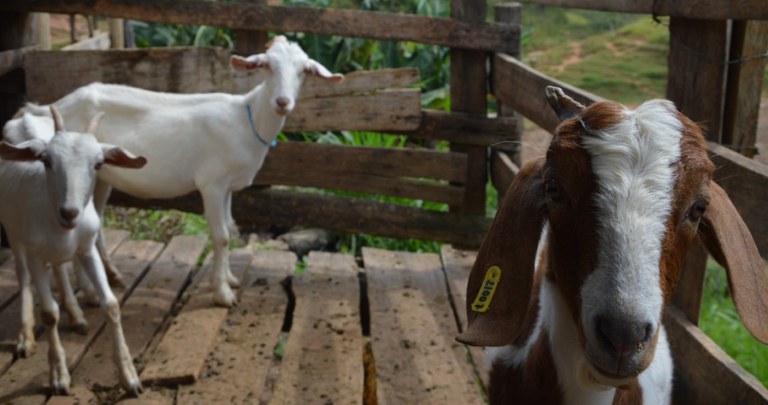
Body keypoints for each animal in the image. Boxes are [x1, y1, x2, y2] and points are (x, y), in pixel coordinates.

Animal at [0, 107, 147, 395]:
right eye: (46, 161)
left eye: (98, 164)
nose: (69, 213)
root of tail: (25, 115)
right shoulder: (34, 253)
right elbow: (48, 313)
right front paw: (58, 377)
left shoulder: (87, 248)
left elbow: (111, 304)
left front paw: (130, 377)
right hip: (13, 230)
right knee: (22, 275)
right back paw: (25, 337)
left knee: (58, 266)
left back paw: (76, 316)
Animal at [21, 35, 344, 307]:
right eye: (266, 65)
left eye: (304, 71)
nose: (282, 102)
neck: (246, 120)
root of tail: (50, 106)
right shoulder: (212, 183)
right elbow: (221, 235)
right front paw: (222, 294)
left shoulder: (227, 187)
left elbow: (230, 226)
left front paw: (230, 279)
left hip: (99, 176)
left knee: (95, 222)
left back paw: (107, 279)